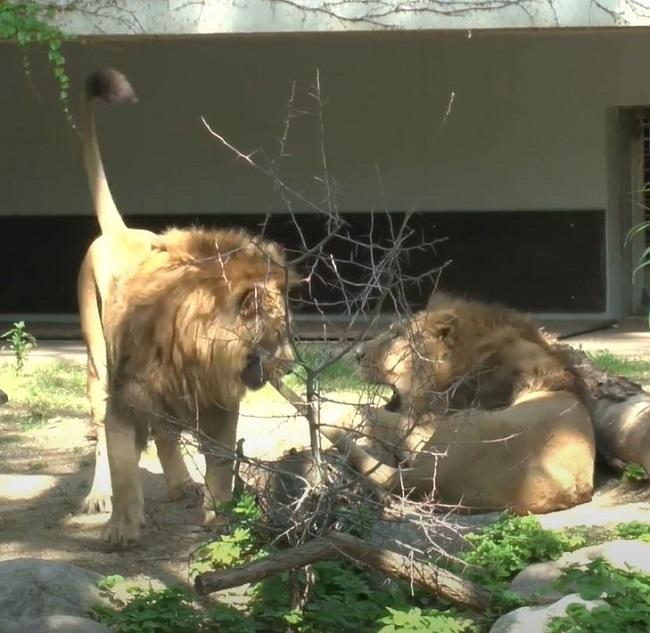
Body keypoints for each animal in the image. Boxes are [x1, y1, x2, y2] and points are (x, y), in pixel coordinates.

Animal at [76, 68, 296, 544]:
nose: (290, 364)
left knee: (165, 436)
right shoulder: (125, 396)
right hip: (97, 365)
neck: (197, 350)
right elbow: (123, 464)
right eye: (274, 333)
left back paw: (181, 485)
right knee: (102, 437)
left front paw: (221, 518)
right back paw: (98, 497)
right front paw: (121, 528)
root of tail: (120, 231)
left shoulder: (219, 401)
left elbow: (221, 464)